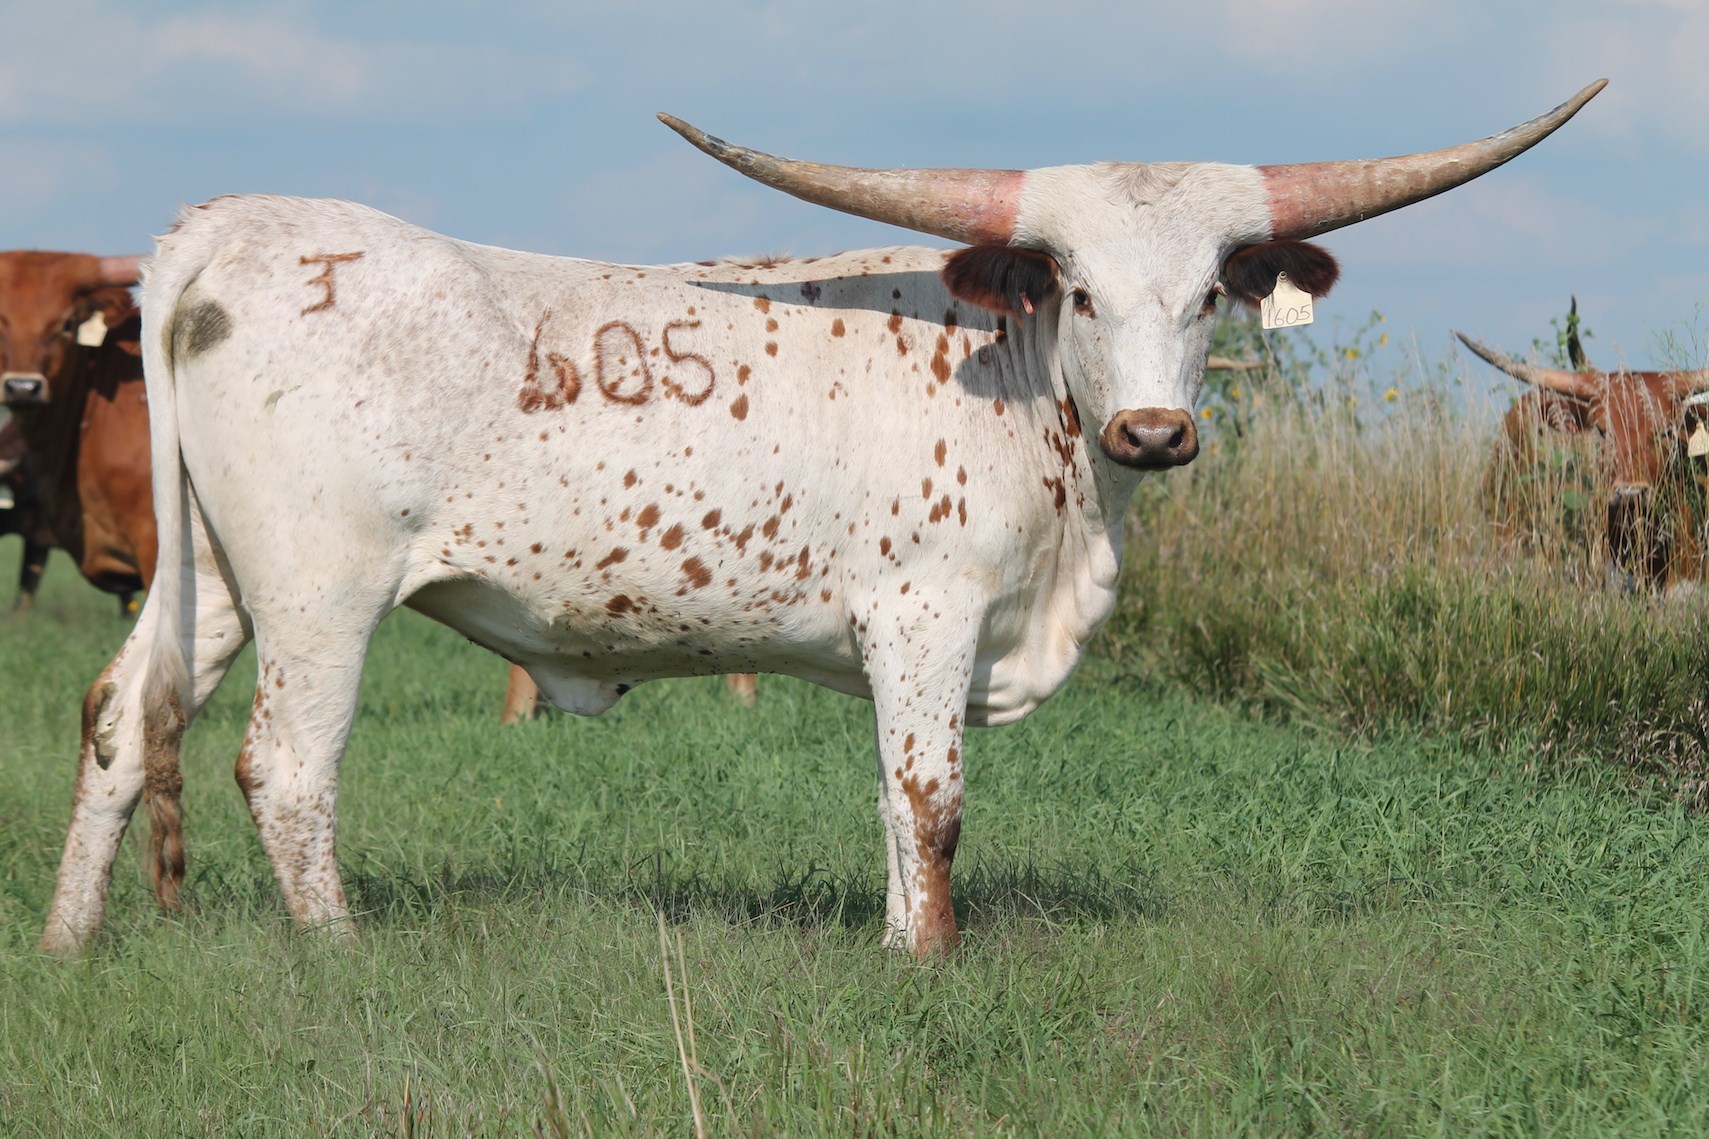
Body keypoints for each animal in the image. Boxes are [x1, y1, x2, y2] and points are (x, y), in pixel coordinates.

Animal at [40, 81, 1605, 958]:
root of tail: (228, 227)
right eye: (1077, 285)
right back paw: (342, 956)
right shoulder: (922, 612)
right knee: (285, 767)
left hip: (214, 574)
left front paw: (901, 943)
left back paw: (68, 944)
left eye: (1214, 286)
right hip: (324, 586)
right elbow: (931, 799)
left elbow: (894, 807)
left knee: (120, 717)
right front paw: (928, 964)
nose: (1155, 432)